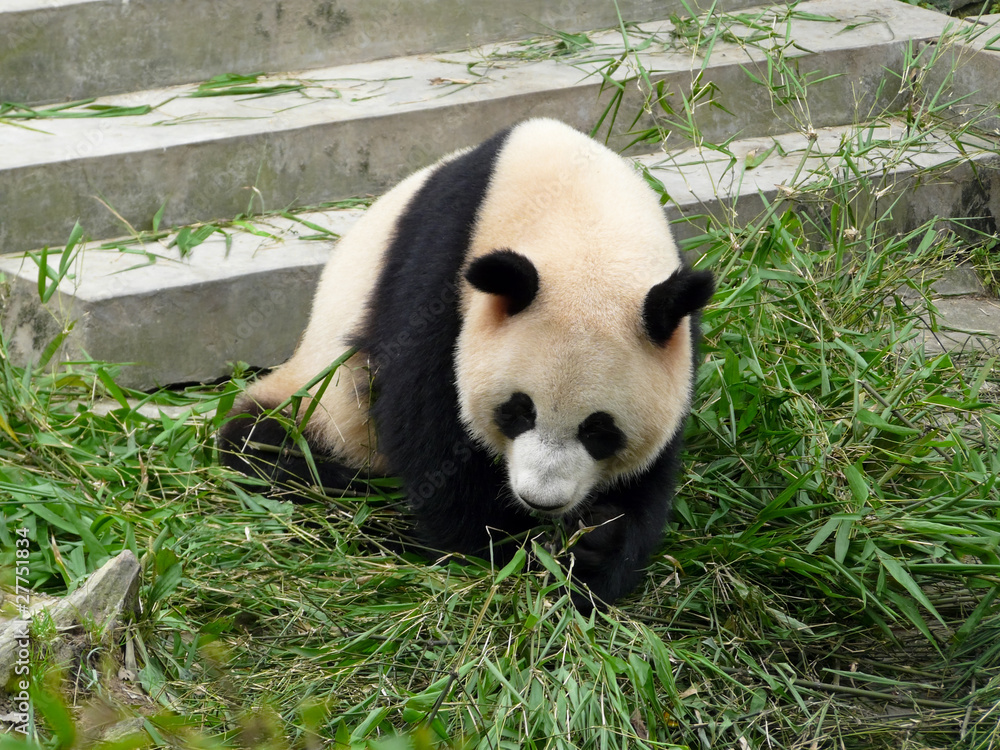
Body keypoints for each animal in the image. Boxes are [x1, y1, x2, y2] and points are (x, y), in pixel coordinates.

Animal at [218, 118, 714, 610]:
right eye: (518, 411)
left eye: (599, 430)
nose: (540, 500)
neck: (582, 214)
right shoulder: (439, 266)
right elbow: (424, 420)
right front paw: (500, 546)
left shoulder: (677, 327)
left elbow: (651, 472)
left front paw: (593, 547)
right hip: (319, 402)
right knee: (270, 452)